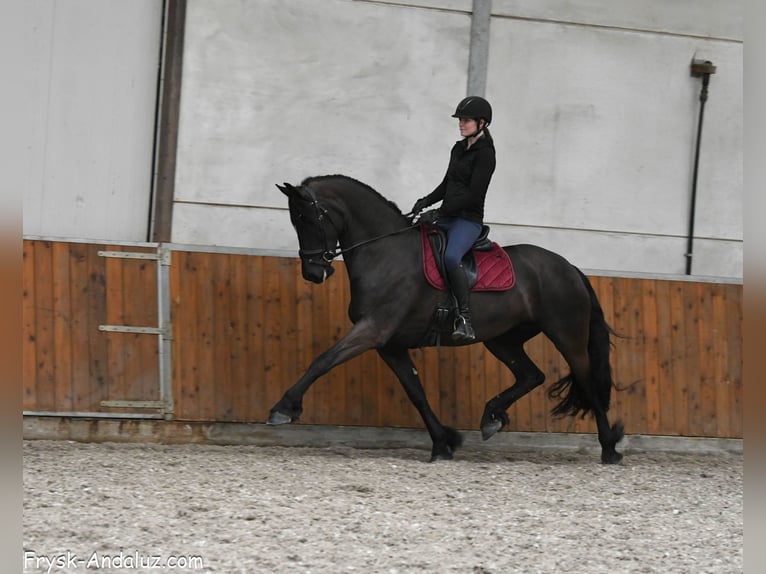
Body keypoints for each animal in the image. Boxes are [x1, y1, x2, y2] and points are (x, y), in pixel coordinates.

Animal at [267, 174, 624, 464]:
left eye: (307, 218)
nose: (314, 273)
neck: (384, 251)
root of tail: (569, 267)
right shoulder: (390, 344)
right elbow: (416, 392)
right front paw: (443, 443)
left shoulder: (373, 329)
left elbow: (323, 360)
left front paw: (283, 408)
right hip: (503, 339)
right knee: (530, 375)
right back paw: (492, 417)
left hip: (567, 334)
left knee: (587, 381)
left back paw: (609, 448)